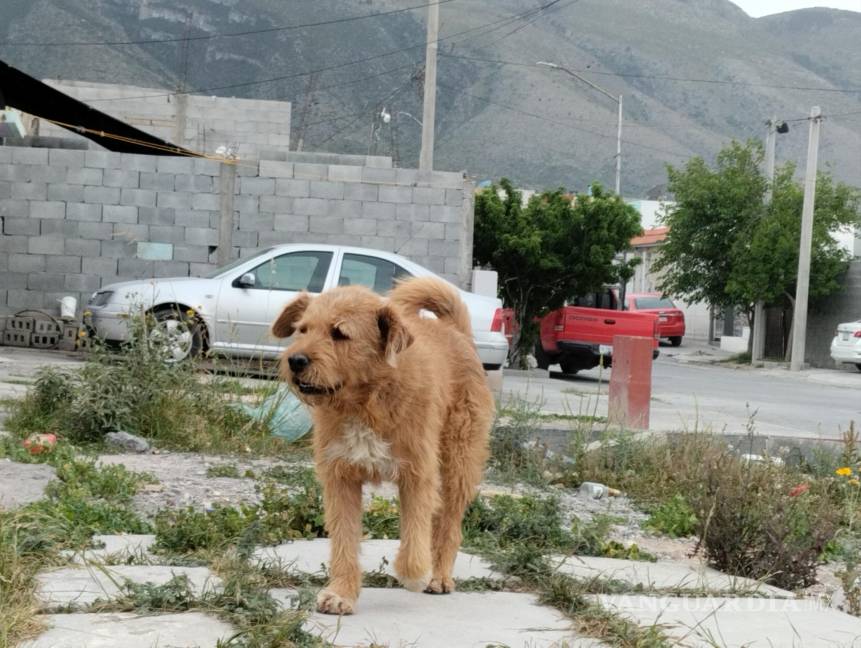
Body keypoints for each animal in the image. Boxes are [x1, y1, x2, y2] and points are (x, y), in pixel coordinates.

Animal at [272, 276, 494, 616]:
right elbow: (344, 541)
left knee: (449, 525)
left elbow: (415, 533)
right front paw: (341, 593)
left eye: (339, 333)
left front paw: (414, 573)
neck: (366, 402)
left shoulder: (418, 475)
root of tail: (456, 333)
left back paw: (439, 575)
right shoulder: (340, 478)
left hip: (459, 464)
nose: (295, 361)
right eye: (303, 330)